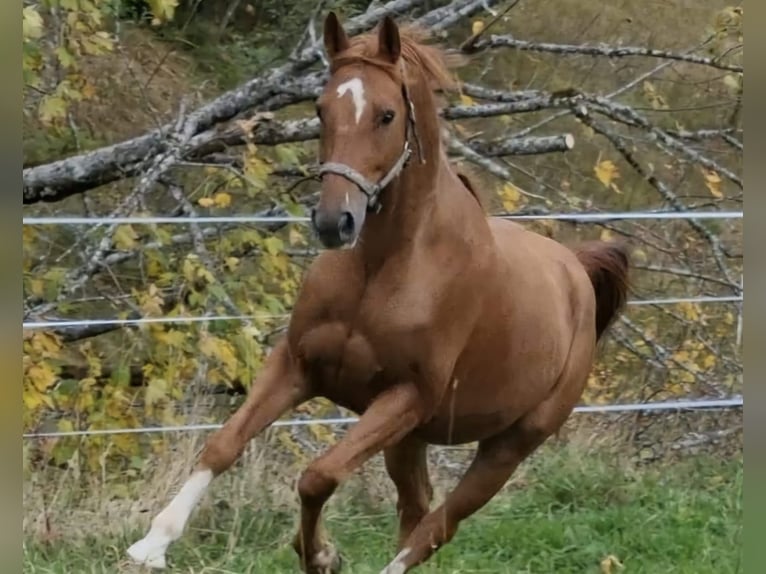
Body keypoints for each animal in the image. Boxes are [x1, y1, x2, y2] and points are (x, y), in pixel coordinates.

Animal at [127, 12, 630, 573]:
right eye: (321, 109)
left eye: (387, 115)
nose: (334, 222)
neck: (384, 268)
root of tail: (576, 270)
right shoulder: (296, 364)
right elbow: (224, 444)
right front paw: (152, 544)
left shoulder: (404, 398)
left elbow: (318, 476)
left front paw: (320, 555)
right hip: (410, 441)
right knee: (417, 508)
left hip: (508, 445)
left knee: (437, 527)